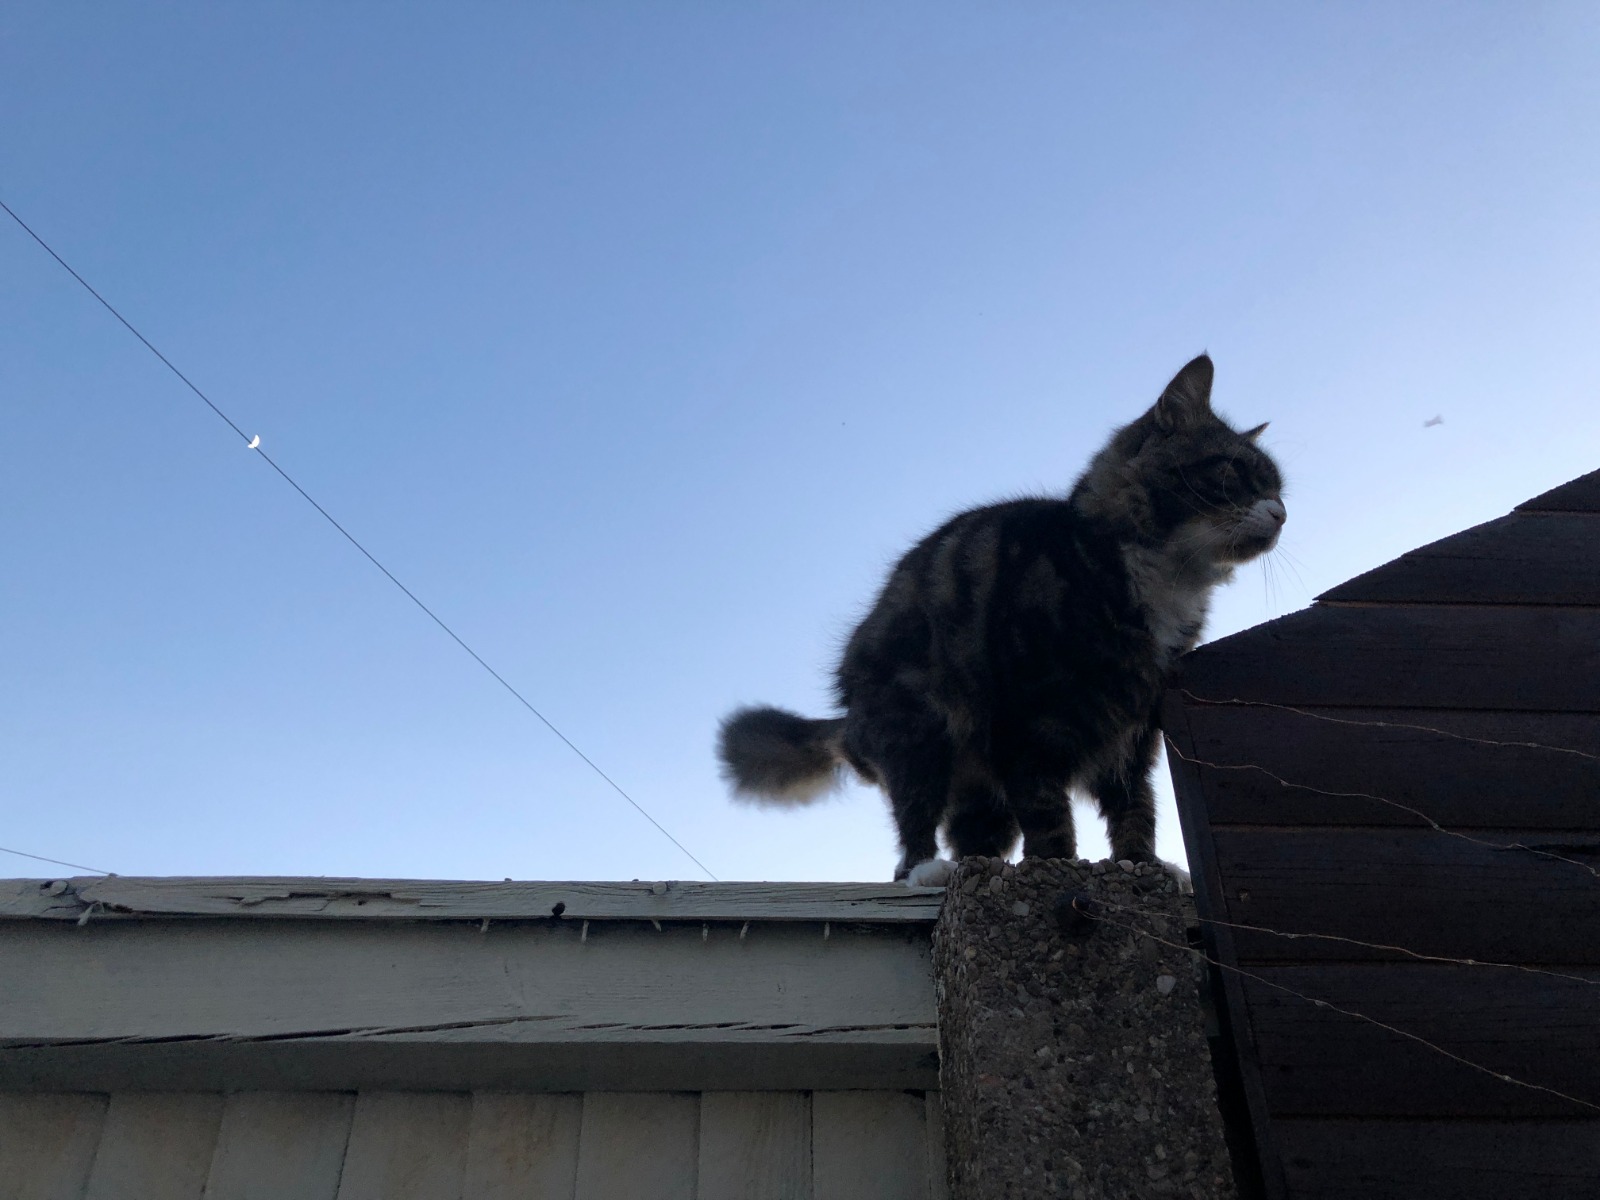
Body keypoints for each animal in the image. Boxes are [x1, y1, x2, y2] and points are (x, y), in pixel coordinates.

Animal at [720, 355, 1280, 883]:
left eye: (1278, 488)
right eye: (1234, 472)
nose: (1281, 513)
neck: (1163, 579)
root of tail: (851, 720)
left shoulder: (1134, 730)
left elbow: (1136, 808)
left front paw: (1140, 866)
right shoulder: (1027, 725)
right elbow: (1050, 814)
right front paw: (1058, 866)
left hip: (980, 793)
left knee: (972, 837)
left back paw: (978, 865)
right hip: (919, 728)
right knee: (913, 822)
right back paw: (926, 871)